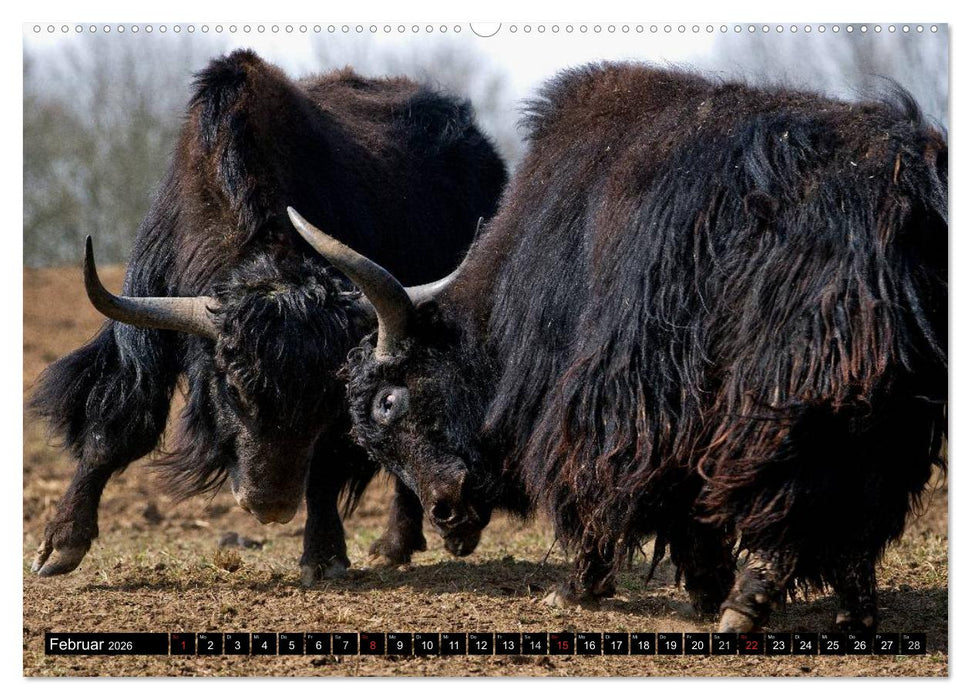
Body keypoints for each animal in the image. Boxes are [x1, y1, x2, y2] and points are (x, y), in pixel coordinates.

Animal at [28, 49, 507, 584]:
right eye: (234, 389)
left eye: (323, 397)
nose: (270, 507)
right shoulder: (143, 319)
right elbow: (116, 422)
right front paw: (58, 547)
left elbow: (328, 460)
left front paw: (324, 557)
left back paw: (399, 543)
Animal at [288, 62, 947, 631]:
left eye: (388, 402)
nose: (445, 516)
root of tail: (896, 195)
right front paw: (702, 587)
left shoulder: (620, 392)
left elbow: (599, 477)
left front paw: (581, 587)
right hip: (886, 402)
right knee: (858, 498)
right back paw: (851, 612)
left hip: (787, 387)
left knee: (790, 486)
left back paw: (748, 604)